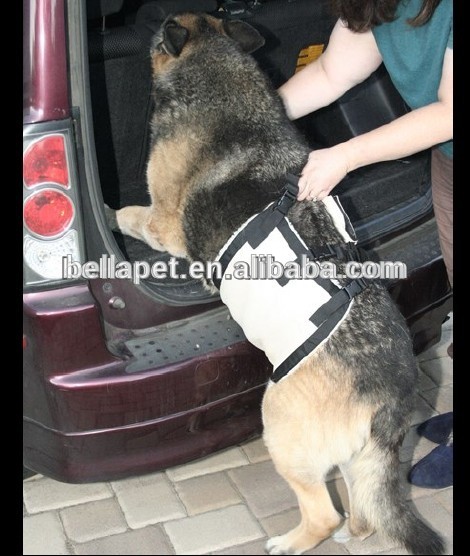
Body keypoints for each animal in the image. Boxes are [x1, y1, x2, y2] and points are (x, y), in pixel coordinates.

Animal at [105, 13, 444, 556]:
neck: (223, 74)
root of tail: (390, 399)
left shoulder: (162, 223)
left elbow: (132, 214)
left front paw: (108, 213)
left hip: (280, 423)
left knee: (324, 513)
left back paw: (290, 541)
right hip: (357, 458)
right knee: (365, 512)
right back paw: (352, 531)